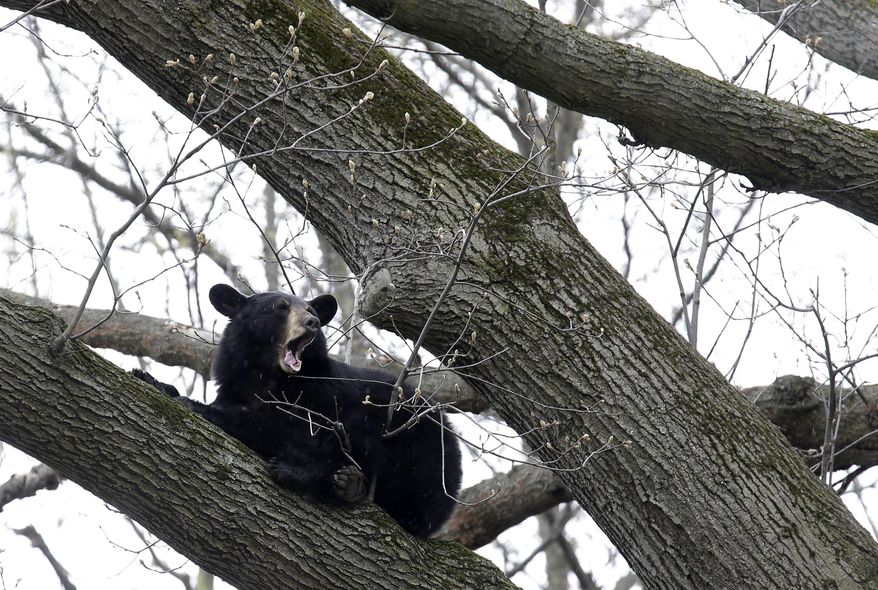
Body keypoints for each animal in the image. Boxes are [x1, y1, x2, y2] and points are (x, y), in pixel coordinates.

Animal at [134, 283, 462, 538]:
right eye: (281, 306)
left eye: (312, 310)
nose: (312, 323)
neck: (267, 377)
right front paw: (153, 381)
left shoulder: (321, 396)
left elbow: (289, 428)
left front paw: (198, 406)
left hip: (416, 453)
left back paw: (324, 479)